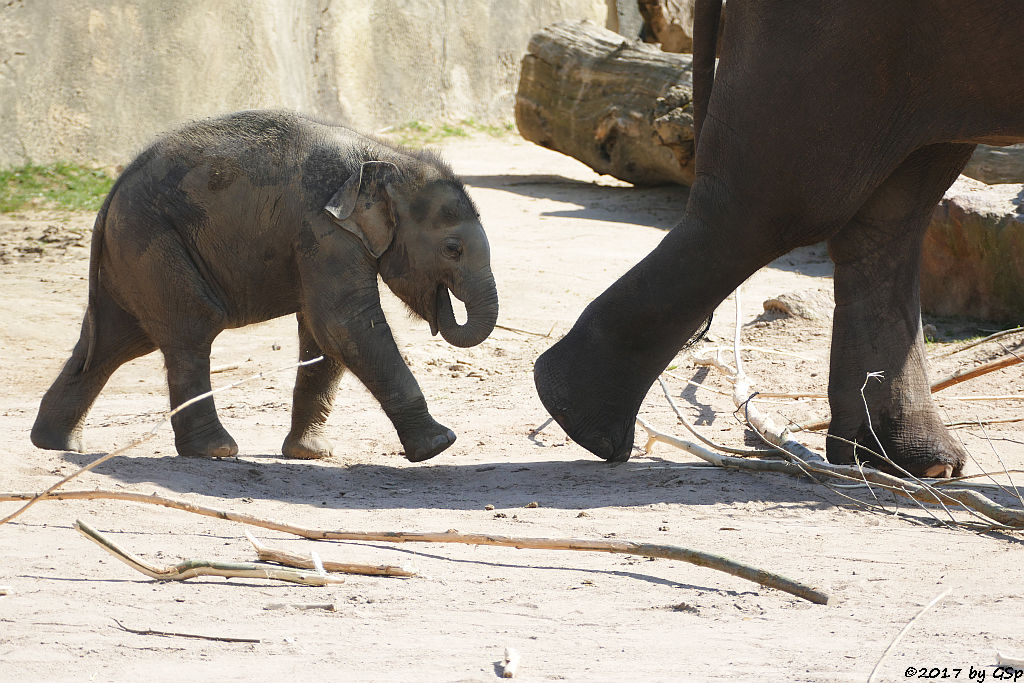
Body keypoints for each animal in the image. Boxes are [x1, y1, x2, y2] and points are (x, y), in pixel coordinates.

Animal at [30, 109, 495, 462]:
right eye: (452, 249)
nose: (441, 311)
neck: (385, 158)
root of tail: (109, 196)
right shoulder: (322, 228)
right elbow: (344, 323)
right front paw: (439, 445)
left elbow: (322, 336)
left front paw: (311, 454)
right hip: (154, 243)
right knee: (189, 330)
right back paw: (215, 451)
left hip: (134, 255)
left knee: (113, 342)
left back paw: (56, 444)